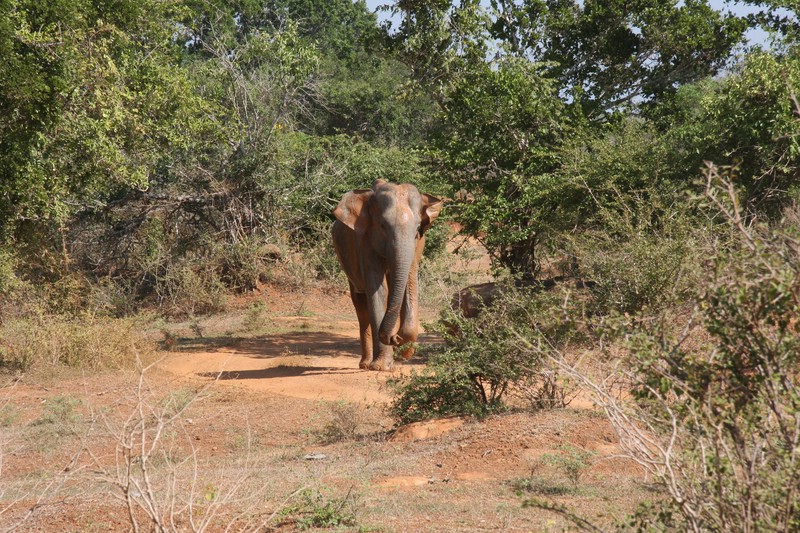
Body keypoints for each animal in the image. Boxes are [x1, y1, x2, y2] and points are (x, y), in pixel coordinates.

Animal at [332, 179, 444, 370]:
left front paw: (401, 353)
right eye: (383, 225)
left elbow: (409, 282)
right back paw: (365, 364)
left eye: (417, 228)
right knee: (361, 306)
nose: (393, 338)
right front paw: (381, 366)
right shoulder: (364, 241)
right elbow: (378, 292)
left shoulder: (417, 245)